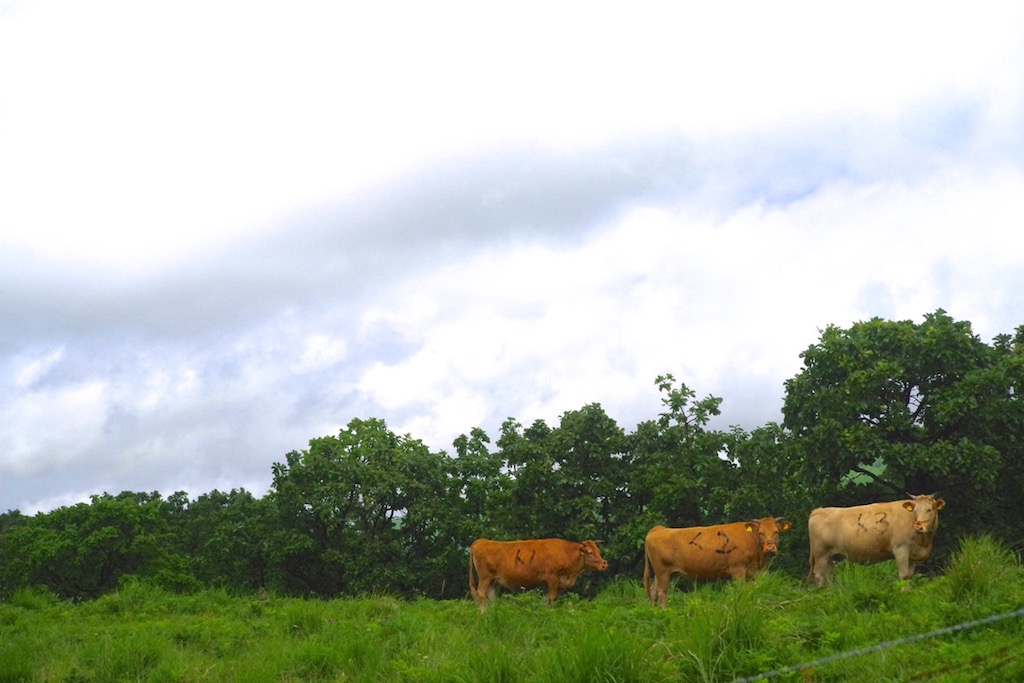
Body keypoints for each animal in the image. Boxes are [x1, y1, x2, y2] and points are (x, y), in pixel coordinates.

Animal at [468, 536, 602, 610]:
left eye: (598, 551)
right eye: (590, 552)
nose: (604, 563)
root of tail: (482, 541)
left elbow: (547, 599)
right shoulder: (552, 578)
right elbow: (553, 598)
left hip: (492, 581)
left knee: (490, 596)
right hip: (485, 578)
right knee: (480, 594)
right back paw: (483, 613)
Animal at [638, 518, 790, 610]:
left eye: (776, 532)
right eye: (760, 532)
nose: (770, 548)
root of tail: (659, 529)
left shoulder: (758, 572)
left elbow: (757, 589)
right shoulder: (738, 569)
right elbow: (741, 590)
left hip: (660, 574)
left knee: (653, 591)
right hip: (662, 571)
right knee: (661, 592)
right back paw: (665, 611)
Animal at [806, 491, 942, 589]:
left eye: (930, 509)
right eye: (915, 510)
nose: (918, 526)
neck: (924, 542)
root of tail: (818, 510)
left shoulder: (913, 555)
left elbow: (909, 575)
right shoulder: (901, 549)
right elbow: (903, 575)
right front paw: (904, 593)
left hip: (832, 556)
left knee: (828, 575)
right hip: (821, 554)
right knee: (819, 575)